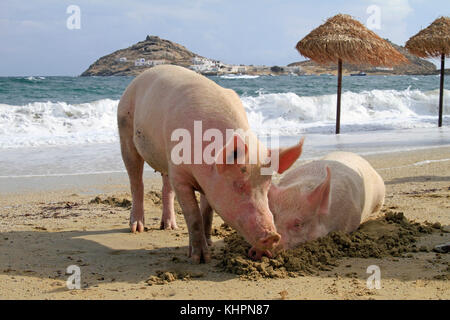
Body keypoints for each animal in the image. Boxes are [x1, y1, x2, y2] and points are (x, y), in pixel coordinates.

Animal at [118, 65, 304, 262]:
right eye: (238, 185)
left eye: (267, 186)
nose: (273, 236)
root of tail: (138, 77)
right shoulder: (180, 175)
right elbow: (193, 215)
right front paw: (199, 258)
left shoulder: (207, 183)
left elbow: (207, 213)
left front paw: (210, 244)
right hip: (125, 129)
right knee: (136, 181)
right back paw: (137, 228)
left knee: (166, 189)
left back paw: (169, 227)